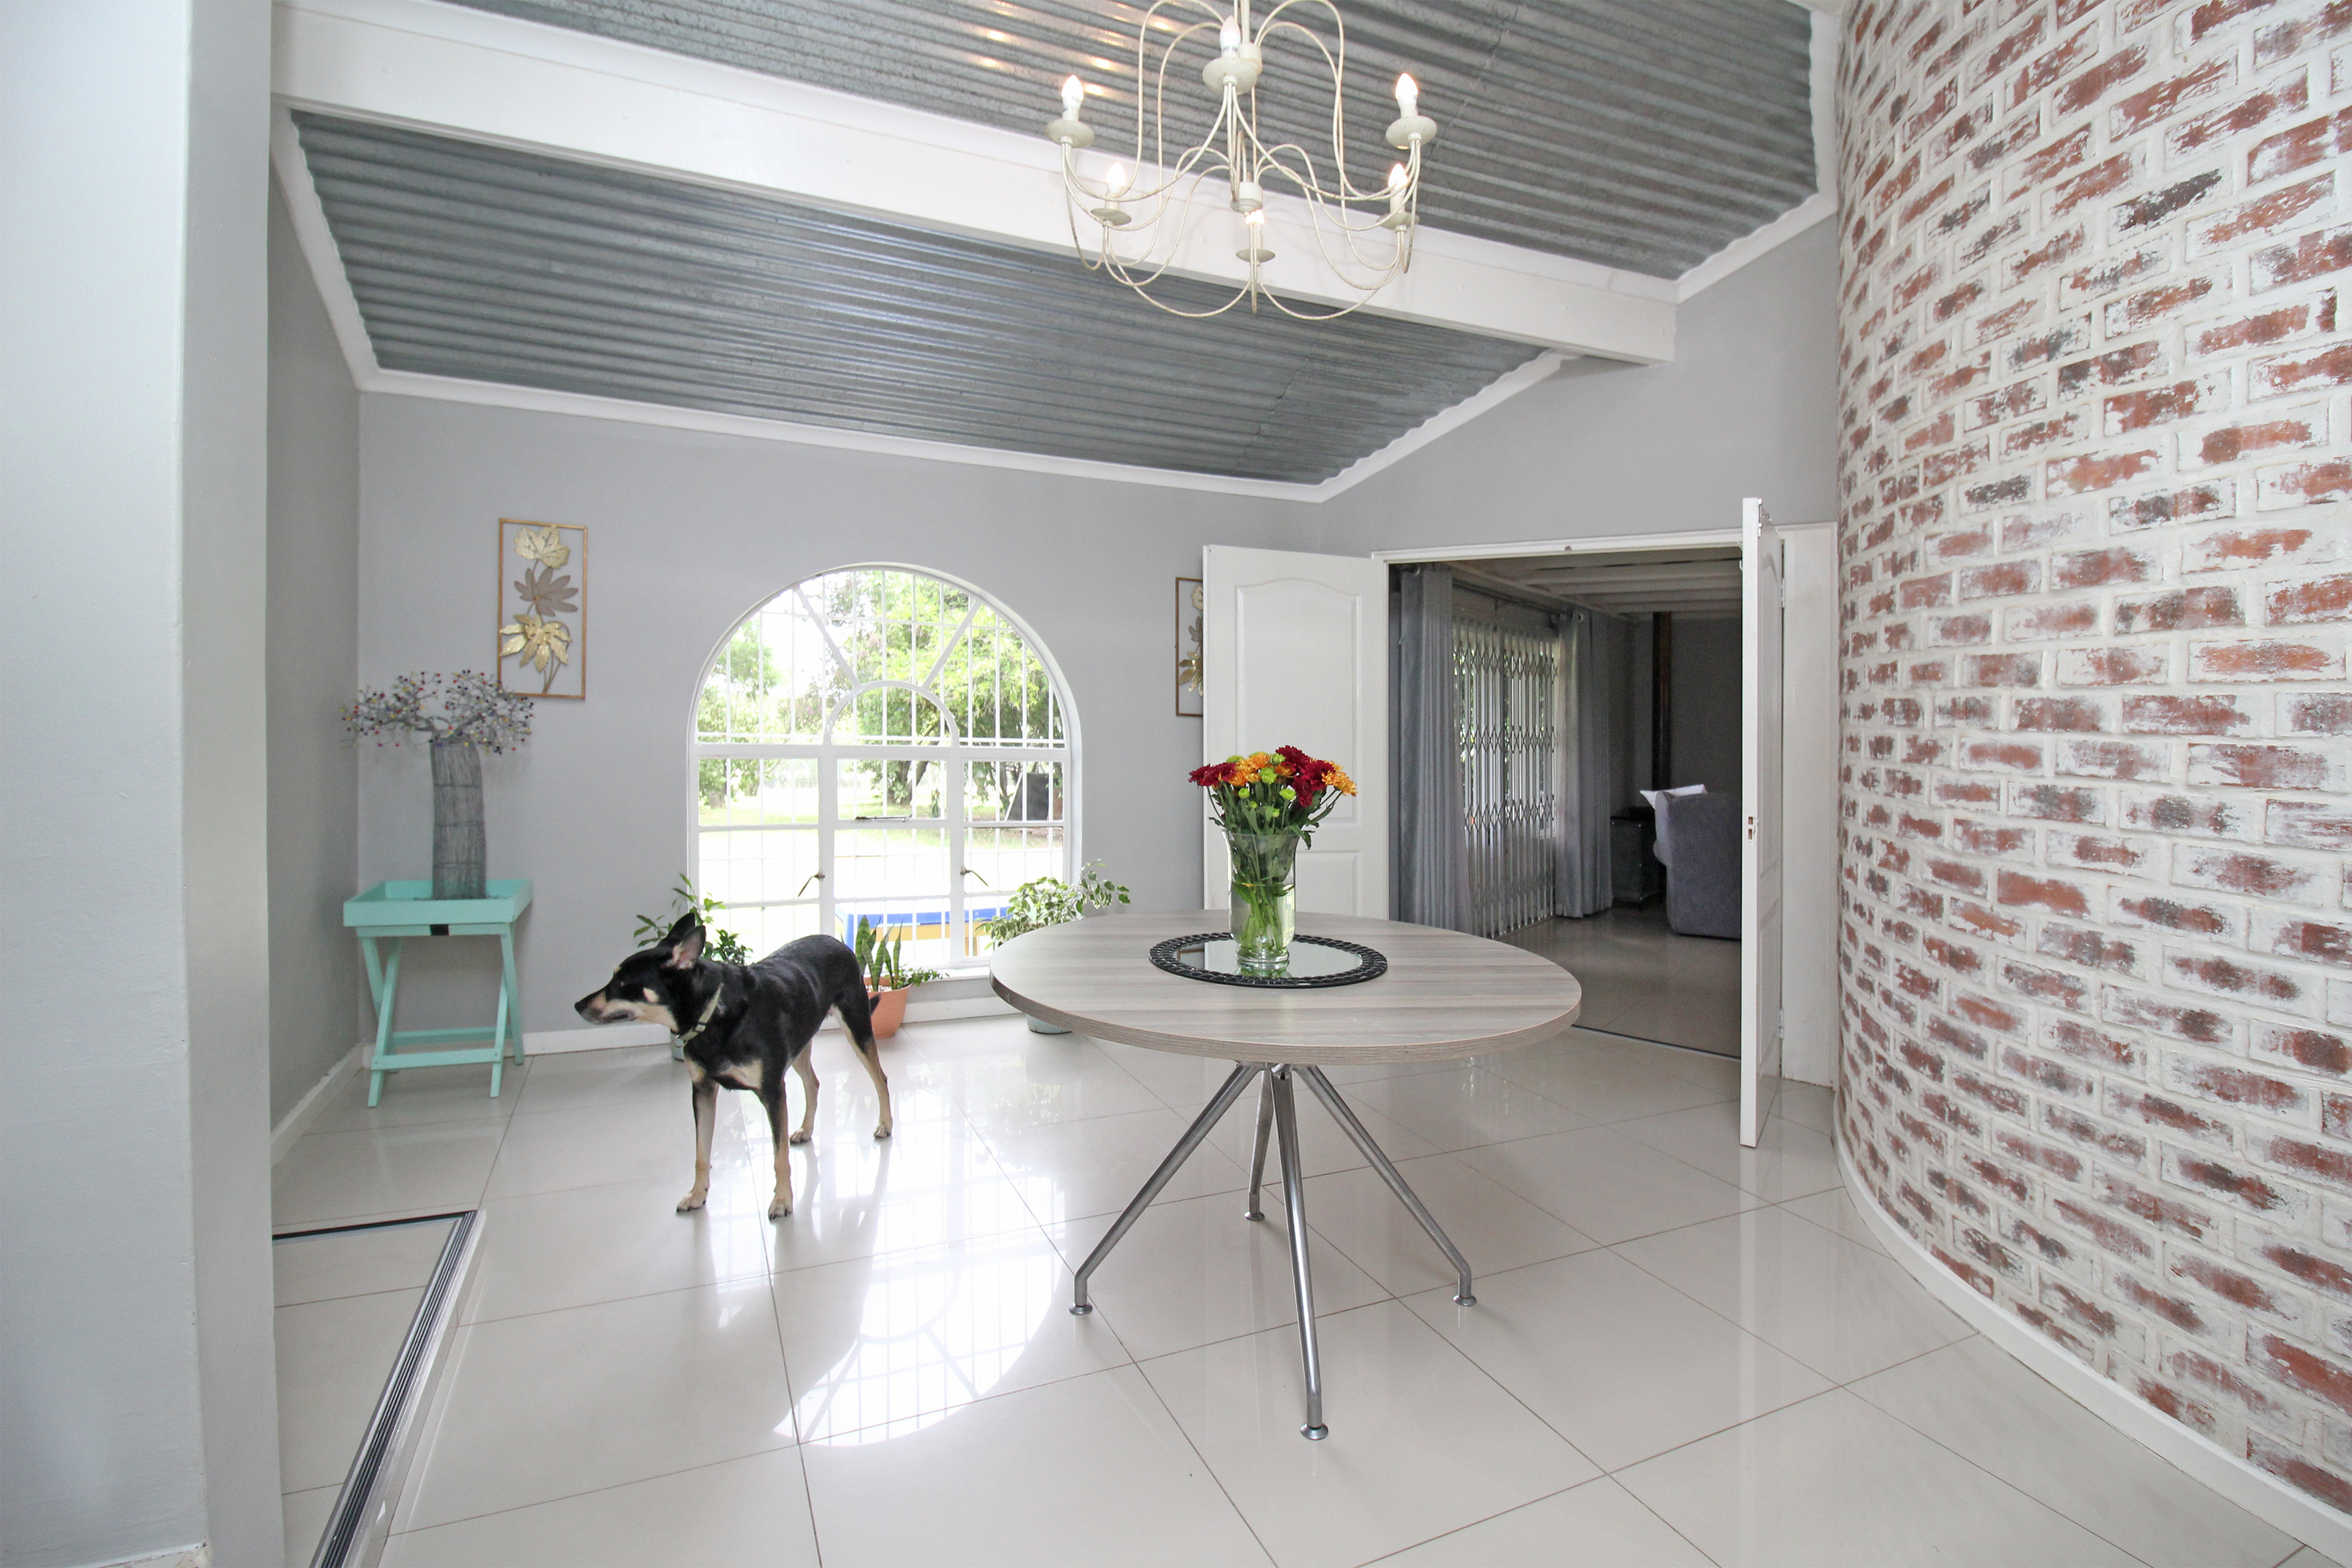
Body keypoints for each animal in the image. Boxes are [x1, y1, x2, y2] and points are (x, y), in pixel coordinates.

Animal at [574, 914, 892, 1218]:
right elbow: (701, 1153)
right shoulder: (702, 1090)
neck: (714, 1012)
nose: (578, 1005)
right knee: (813, 1082)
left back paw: (885, 1125)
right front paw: (697, 1195)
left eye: (622, 983)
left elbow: (779, 1158)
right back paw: (806, 1129)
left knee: (880, 1078)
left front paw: (782, 1200)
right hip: (799, 1044)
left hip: (856, 1027)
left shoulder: (772, 1091)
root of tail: (838, 943)